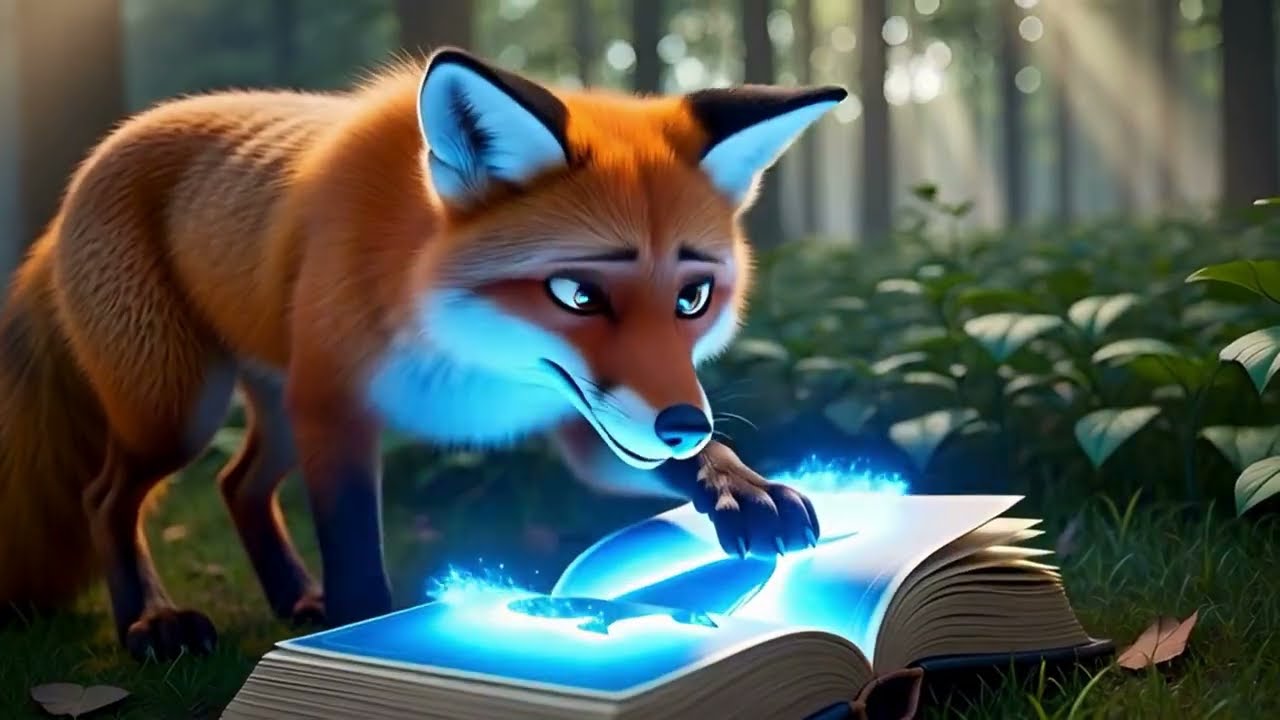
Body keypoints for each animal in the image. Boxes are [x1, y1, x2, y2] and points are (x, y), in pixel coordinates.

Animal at [0, 47, 845, 661]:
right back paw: (152, 623)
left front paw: (745, 487)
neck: (476, 360)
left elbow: (679, 465)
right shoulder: (338, 408)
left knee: (237, 486)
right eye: (578, 295)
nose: (684, 423)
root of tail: (82, 178)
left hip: (269, 410)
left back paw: (294, 599)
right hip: (180, 411)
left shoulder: (587, 423)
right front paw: (362, 631)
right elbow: (357, 558)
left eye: (692, 299)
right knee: (105, 497)